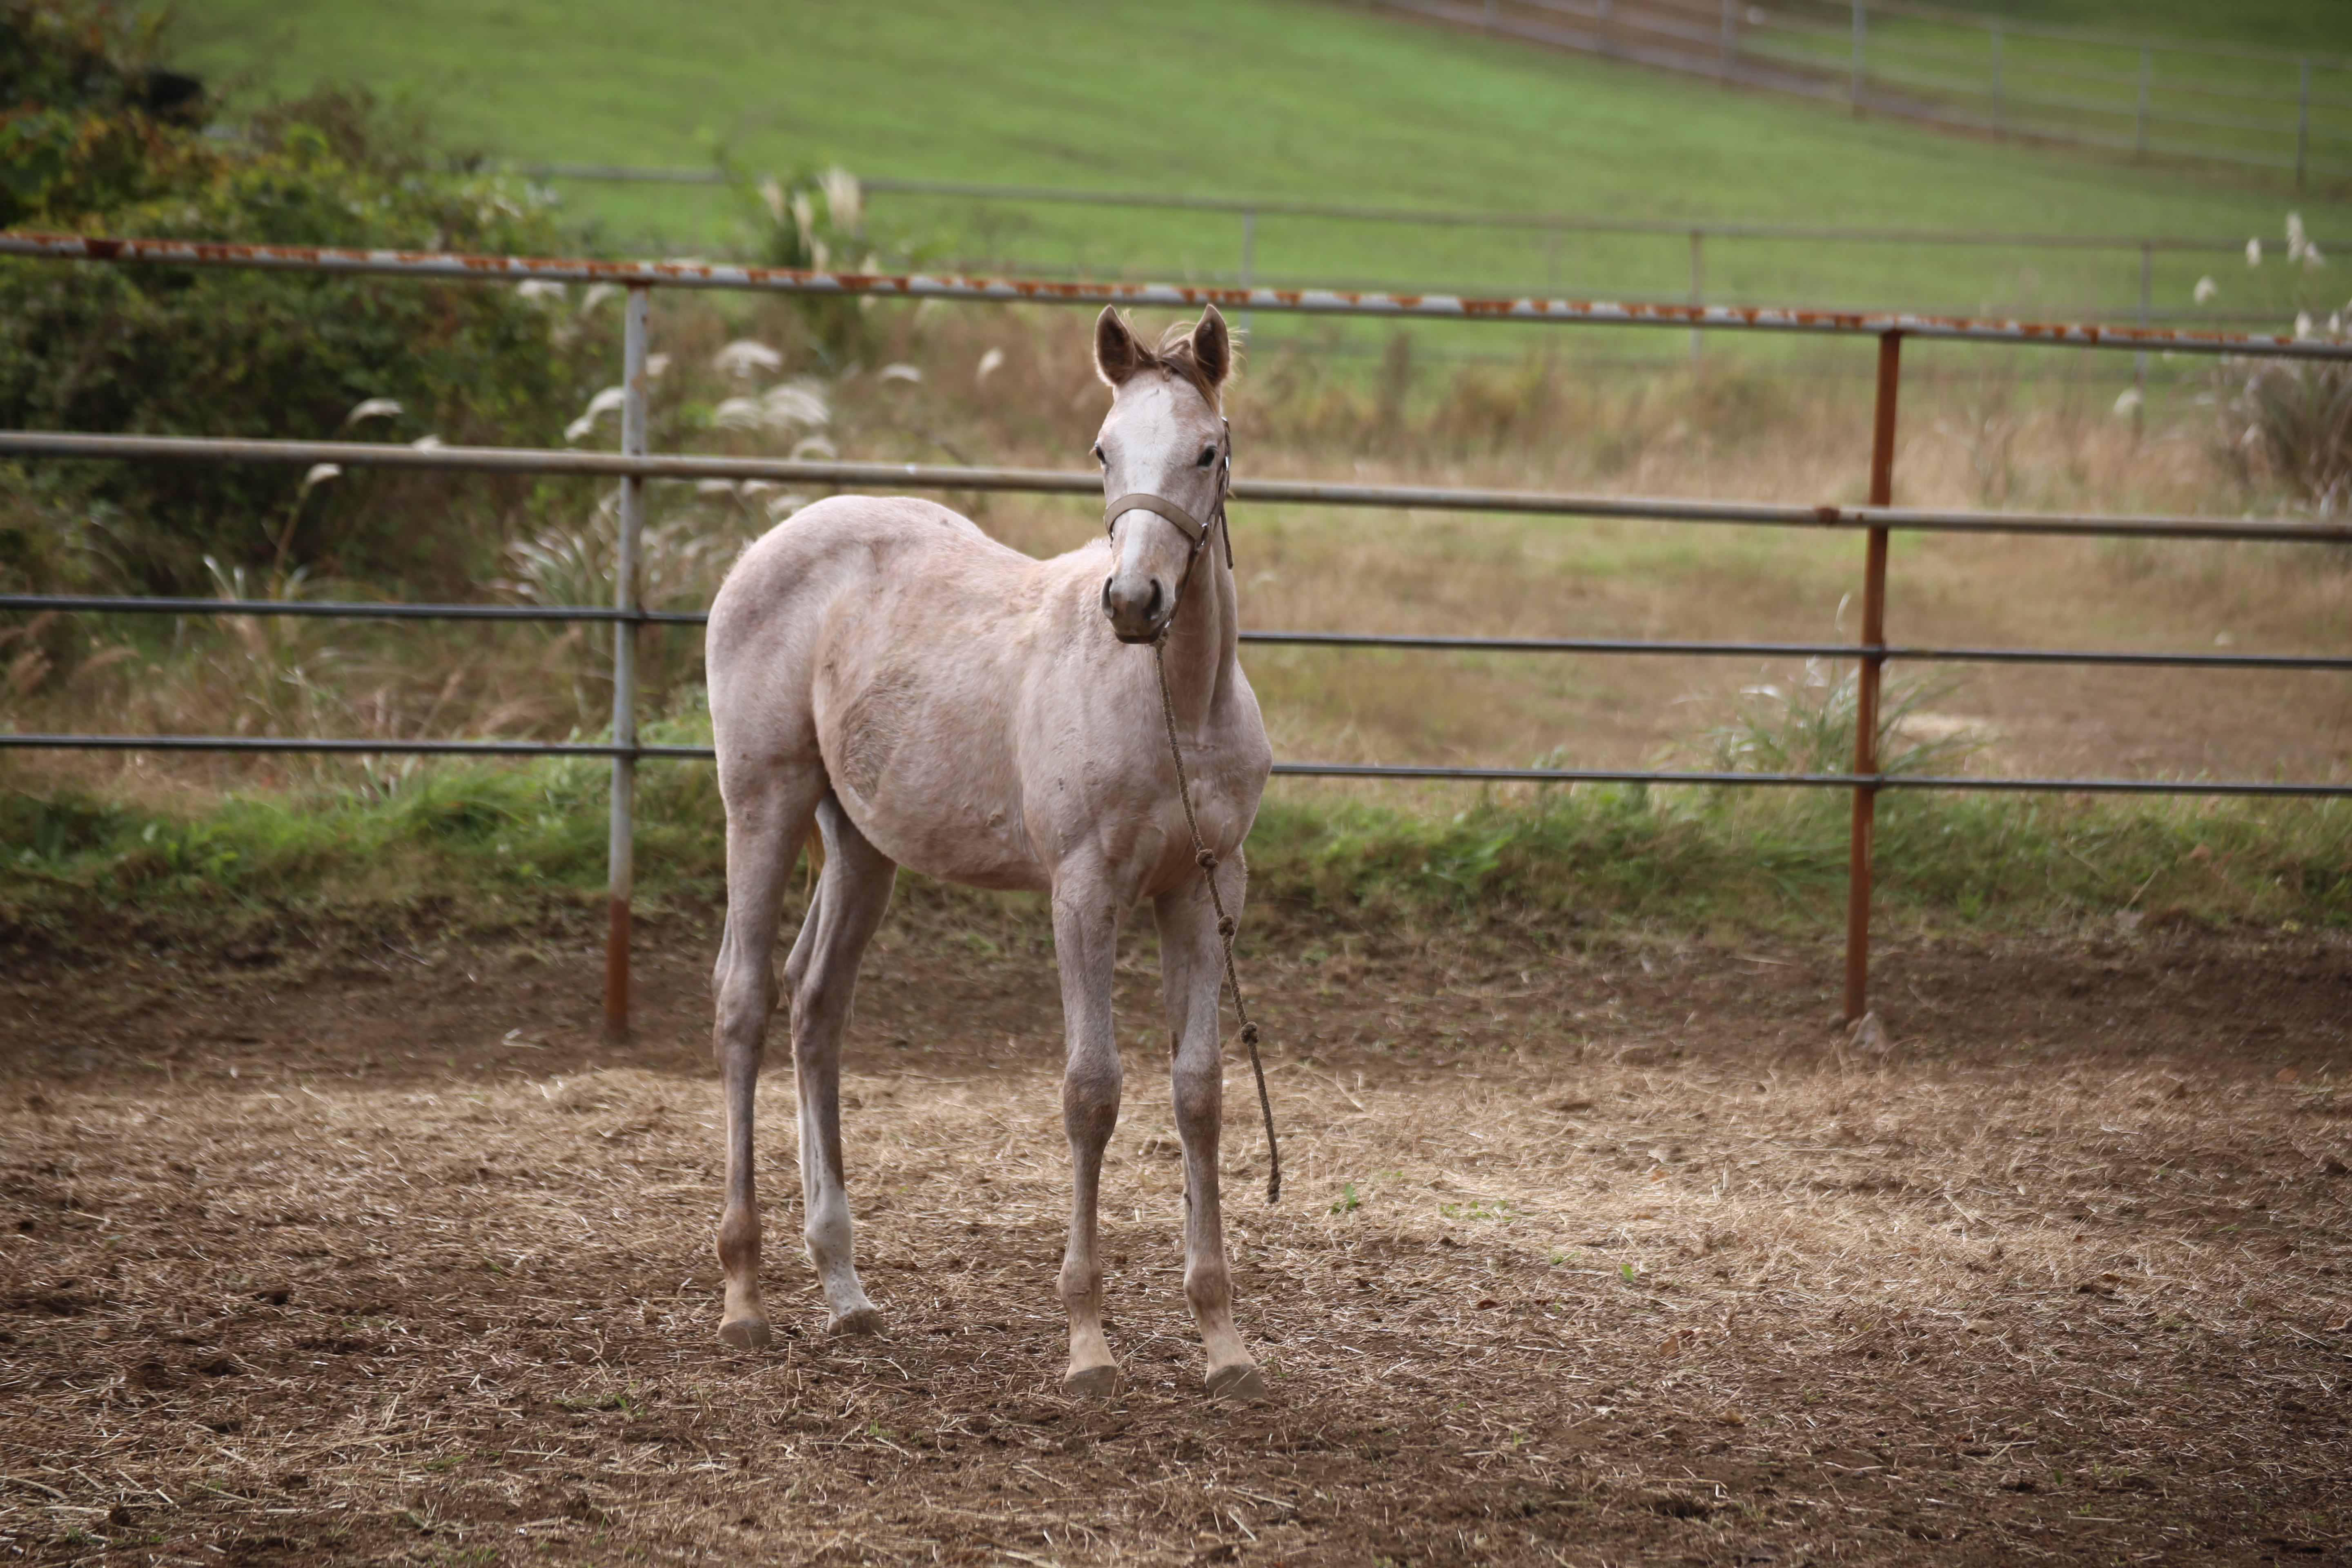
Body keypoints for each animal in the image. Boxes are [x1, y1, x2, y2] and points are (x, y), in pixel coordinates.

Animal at [701, 303, 1270, 1401]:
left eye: (1206, 451)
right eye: (1102, 450)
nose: (1132, 601)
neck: (1174, 703)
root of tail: (768, 544)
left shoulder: (1202, 888)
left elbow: (1199, 1094)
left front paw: (1223, 1341)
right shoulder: (1083, 891)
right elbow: (1091, 1092)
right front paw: (1087, 1343)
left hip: (860, 841)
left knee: (815, 1005)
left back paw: (845, 1287)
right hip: (764, 800)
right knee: (745, 1000)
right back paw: (744, 1295)